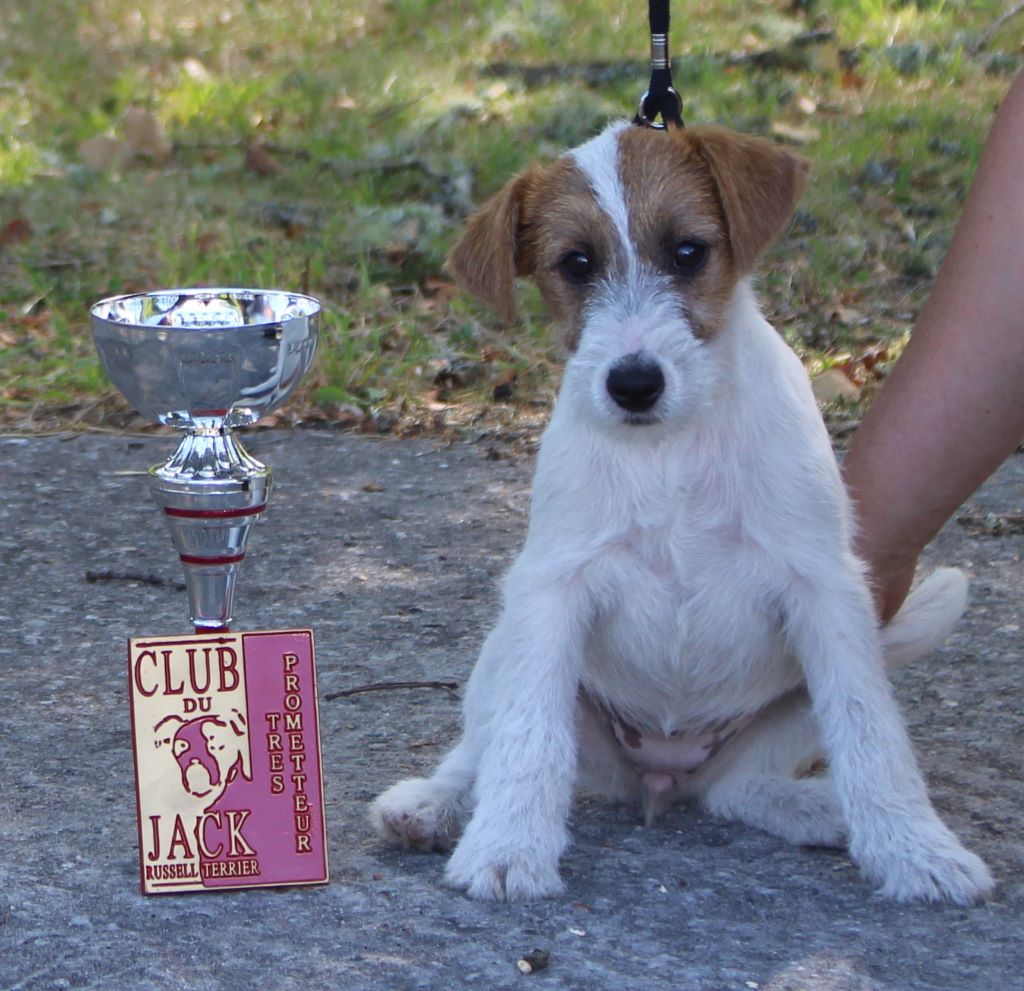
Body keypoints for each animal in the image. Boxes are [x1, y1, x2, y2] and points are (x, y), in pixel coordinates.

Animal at [368, 121, 991, 905]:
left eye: (689, 251)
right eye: (576, 264)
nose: (634, 383)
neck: (671, 449)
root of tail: (661, 773)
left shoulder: (826, 593)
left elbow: (870, 734)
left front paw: (915, 848)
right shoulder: (552, 591)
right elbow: (528, 736)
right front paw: (508, 846)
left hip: (785, 711)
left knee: (737, 789)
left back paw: (821, 810)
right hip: (504, 647)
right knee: (482, 745)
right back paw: (433, 803)